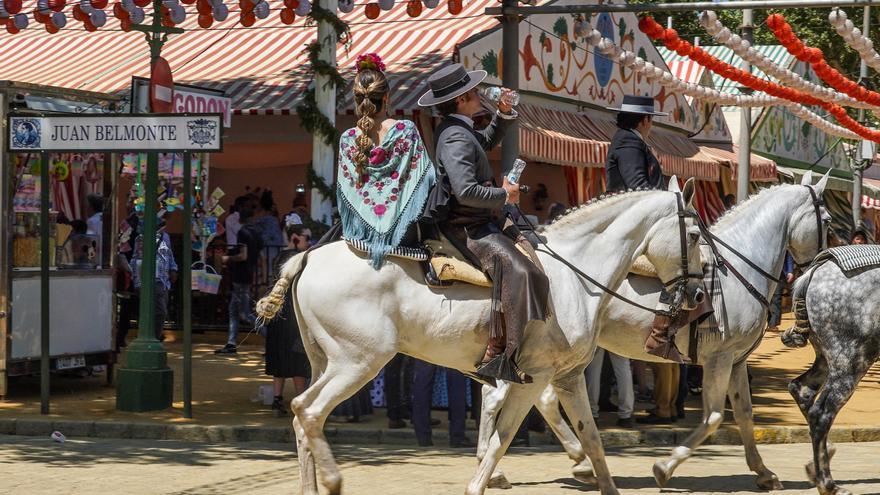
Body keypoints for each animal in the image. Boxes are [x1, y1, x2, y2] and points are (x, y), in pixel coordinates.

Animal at [258, 181, 704, 495]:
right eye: (697, 234)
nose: (699, 294)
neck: (576, 275)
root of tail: (308, 257)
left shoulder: (568, 377)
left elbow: (591, 438)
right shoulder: (534, 378)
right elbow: (502, 437)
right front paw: (483, 480)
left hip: (325, 362)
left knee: (303, 419)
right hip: (359, 362)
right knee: (307, 410)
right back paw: (333, 481)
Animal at [478, 172, 828, 490]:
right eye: (826, 220)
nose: (822, 263)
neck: (739, 269)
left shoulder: (737, 361)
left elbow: (744, 415)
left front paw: (763, 472)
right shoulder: (720, 359)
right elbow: (714, 416)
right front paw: (664, 467)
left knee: (532, 398)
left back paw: (572, 463)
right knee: (499, 396)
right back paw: (501, 467)